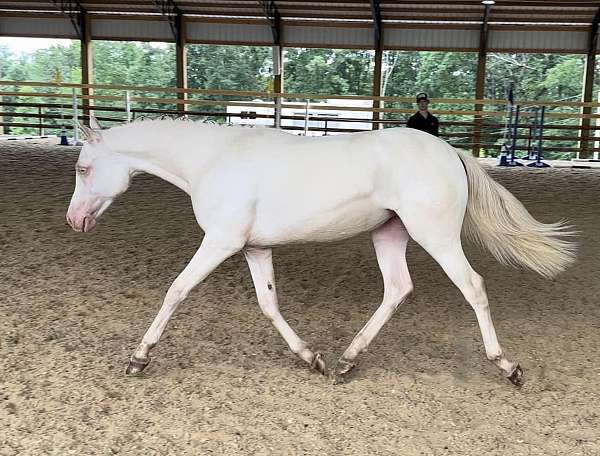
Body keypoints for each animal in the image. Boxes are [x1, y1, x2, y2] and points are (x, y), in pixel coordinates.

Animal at [65, 118, 576, 384]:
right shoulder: (254, 248)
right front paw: (311, 358)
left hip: (436, 235)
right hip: (390, 234)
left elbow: (177, 290)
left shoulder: (221, 242)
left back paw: (507, 367)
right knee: (398, 289)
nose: (74, 221)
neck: (214, 161)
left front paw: (139, 358)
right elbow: (269, 304)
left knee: (473, 287)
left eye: (84, 169)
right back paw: (347, 360)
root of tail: (449, 153)